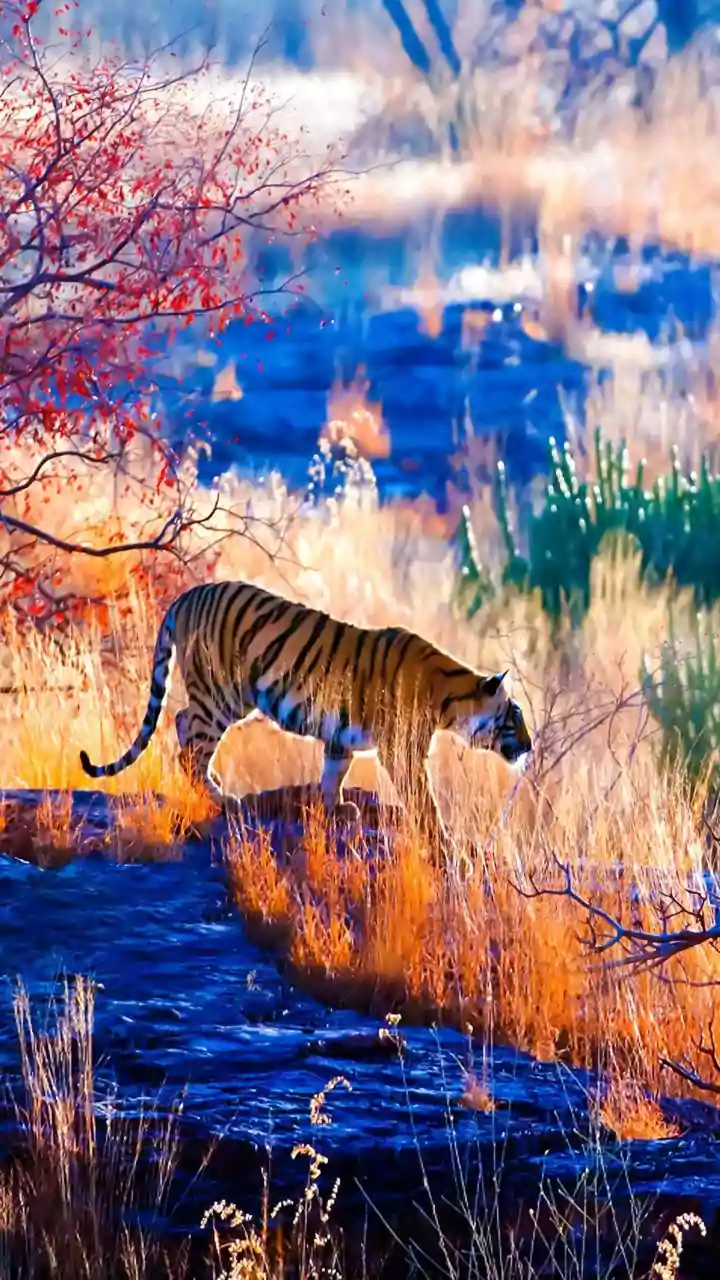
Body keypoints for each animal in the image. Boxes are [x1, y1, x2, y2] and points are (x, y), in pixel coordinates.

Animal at [79, 580, 532, 851]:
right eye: (514, 716)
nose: (529, 746)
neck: (450, 698)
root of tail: (188, 594)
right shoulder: (402, 753)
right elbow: (424, 800)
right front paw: (443, 840)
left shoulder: (340, 738)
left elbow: (333, 775)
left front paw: (336, 809)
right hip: (221, 694)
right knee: (189, 740)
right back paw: (222, 796)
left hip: (223, 696)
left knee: (180, 723)